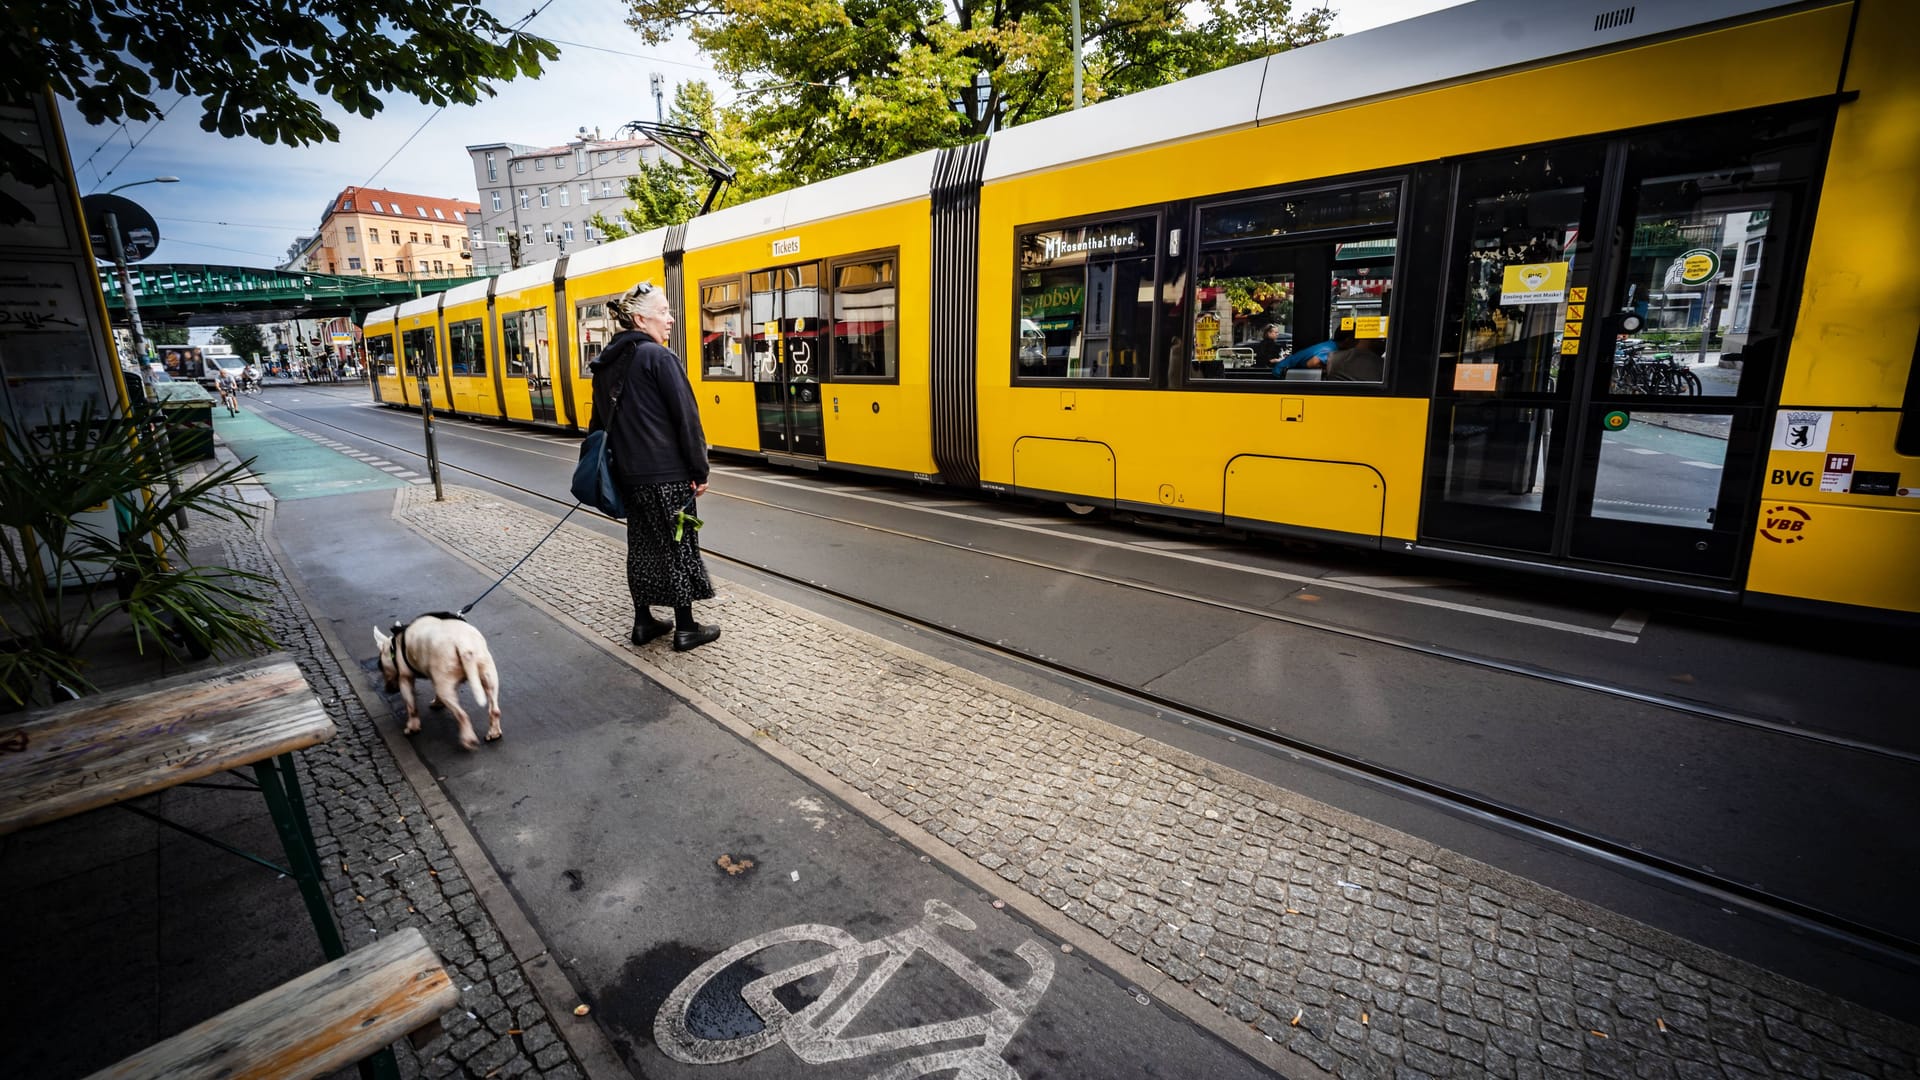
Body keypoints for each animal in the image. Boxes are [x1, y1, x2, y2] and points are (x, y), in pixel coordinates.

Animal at [370, 611, 499, 753]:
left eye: (380, 666)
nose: (388, 689)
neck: (394, 646)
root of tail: (464, 645)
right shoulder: (436, 677)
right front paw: (437, 703)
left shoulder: (405, 679)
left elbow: (411, 706)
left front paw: (412, 727)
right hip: (488, 675)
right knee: (494, 709)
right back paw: (494, 733)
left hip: (445, 688)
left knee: (462, 715)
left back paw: (468, 739)